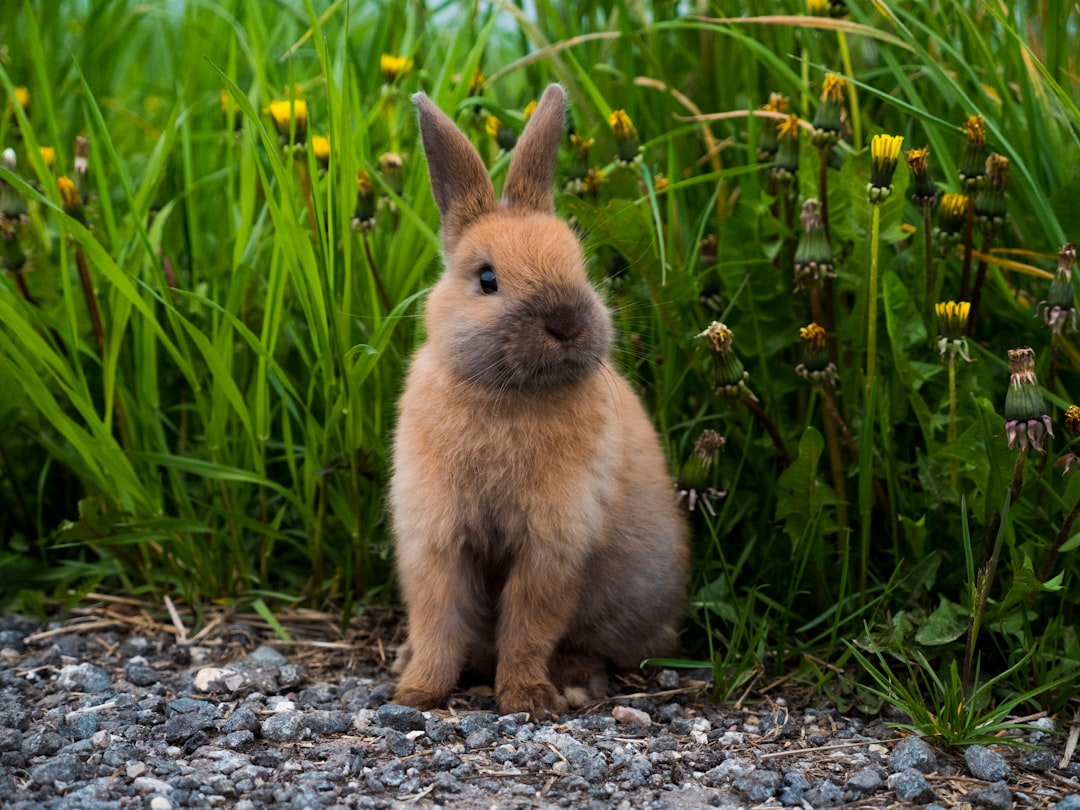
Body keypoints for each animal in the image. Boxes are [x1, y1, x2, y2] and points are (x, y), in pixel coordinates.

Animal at [390, 83, 689, 717]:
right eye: (486, 278)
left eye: (580, 265)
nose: (567, 324)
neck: (509, 393)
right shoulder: (436, 537)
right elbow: (437, 620)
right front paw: (418, 692)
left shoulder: (552, 544)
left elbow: (529, 625)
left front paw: (527, 699)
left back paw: (575, 682)